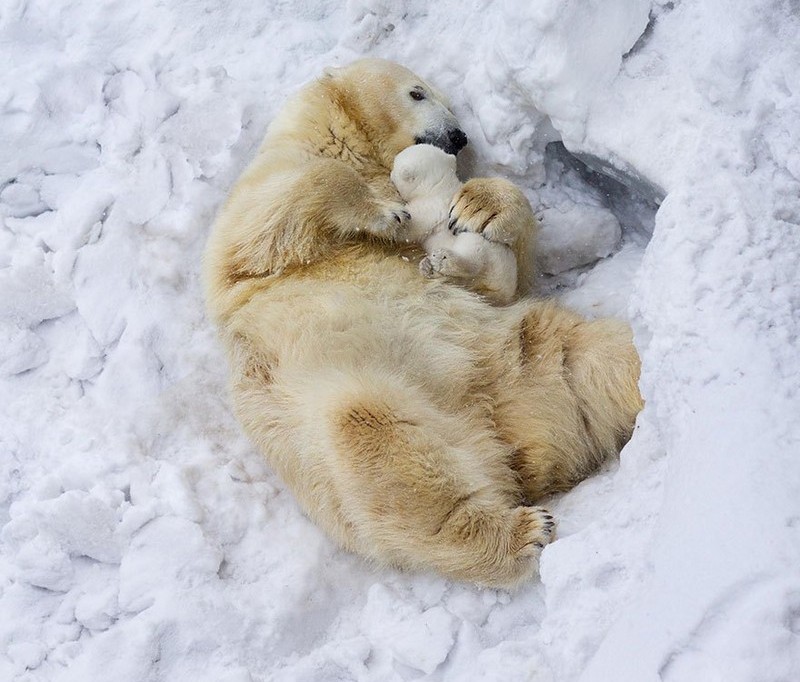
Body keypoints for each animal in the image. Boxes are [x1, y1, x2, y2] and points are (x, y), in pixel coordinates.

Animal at [392, 145, 520, 304]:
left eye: (394, 167)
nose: (390, 174)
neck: (440, 184)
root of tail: (504, 291)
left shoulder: (431, 205)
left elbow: (412, 227)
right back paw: (429, 268)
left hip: (490, 254)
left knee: (473, 256)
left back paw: (441, 259)